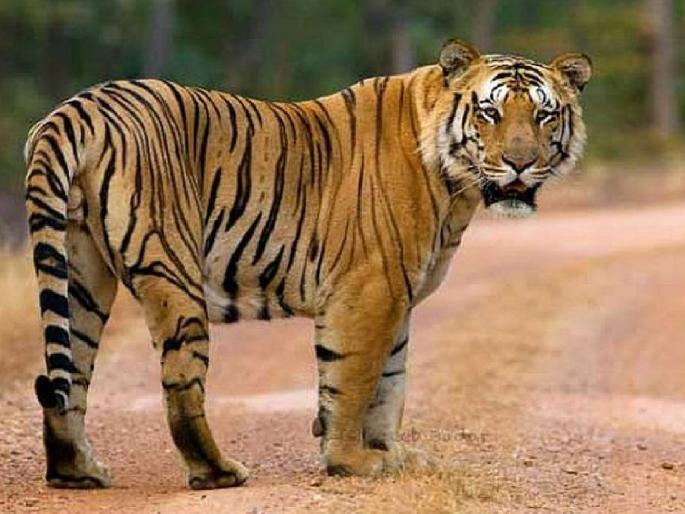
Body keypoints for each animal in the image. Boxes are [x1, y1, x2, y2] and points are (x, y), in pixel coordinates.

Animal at [24, 38, 591, 489]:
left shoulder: (398, 296)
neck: (456, 189)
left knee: (70, 375)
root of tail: (78, 107)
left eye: (544, 115)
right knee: (180, 387)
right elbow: (354, 380)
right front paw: (350, 462)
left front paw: (390, 454)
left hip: (82, 273)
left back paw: (77, 472)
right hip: (172, 271)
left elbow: (391, 383)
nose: (520, 163)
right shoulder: (368, 291)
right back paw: (218, 472)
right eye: (489, 112)